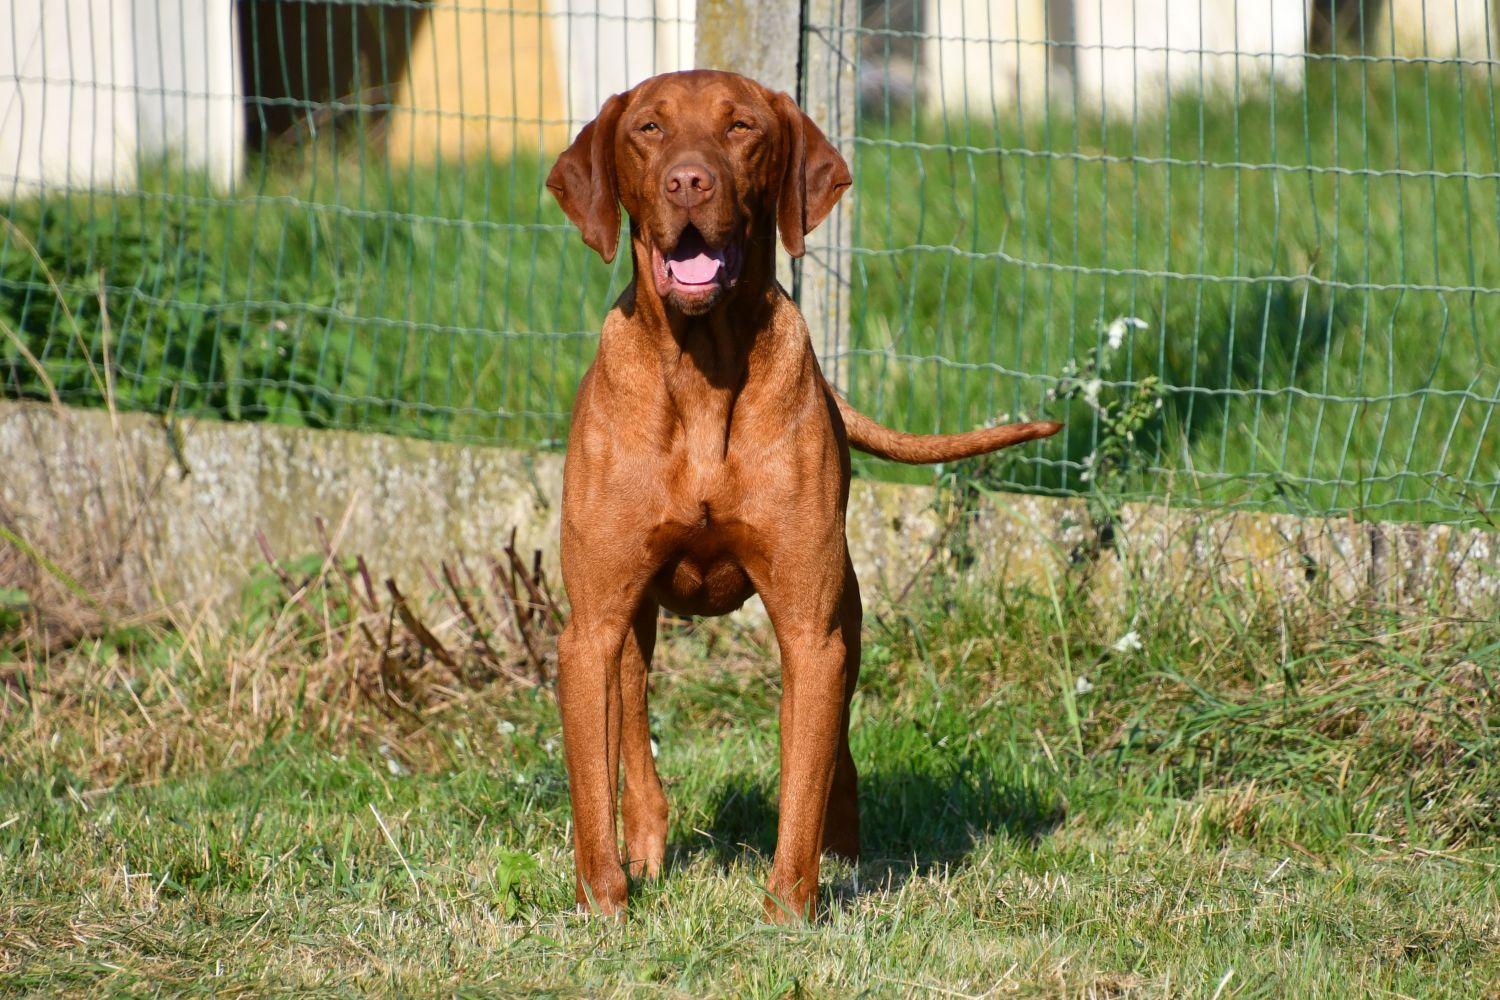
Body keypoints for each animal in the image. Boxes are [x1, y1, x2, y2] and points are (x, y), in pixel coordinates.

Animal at [546, 70, 1062, 923]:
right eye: (649, 129)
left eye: (742, 128)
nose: (689, 182)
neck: (702, 370)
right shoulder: (587, 630)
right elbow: (592, 790)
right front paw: (605, 909)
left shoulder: (811, 633)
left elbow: (804, 783)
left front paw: (788, 915)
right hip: (630, 624)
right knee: (635, 725)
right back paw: (648, 846)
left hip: (840, 622)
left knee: (831, 754)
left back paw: (844, 857)